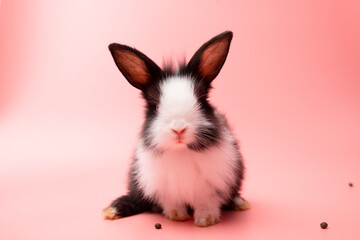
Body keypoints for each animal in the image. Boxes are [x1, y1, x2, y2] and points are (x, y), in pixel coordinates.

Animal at [103, 30, 250, 227]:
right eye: (156, 105)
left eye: (201, 100)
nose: (179, 128)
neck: (181, 151)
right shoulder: (163, 187)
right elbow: (171, 202)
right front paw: (176, 215)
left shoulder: (212, 186)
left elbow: (207, 202)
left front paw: (206, 220)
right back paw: (113, 209)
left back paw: (240, 203)